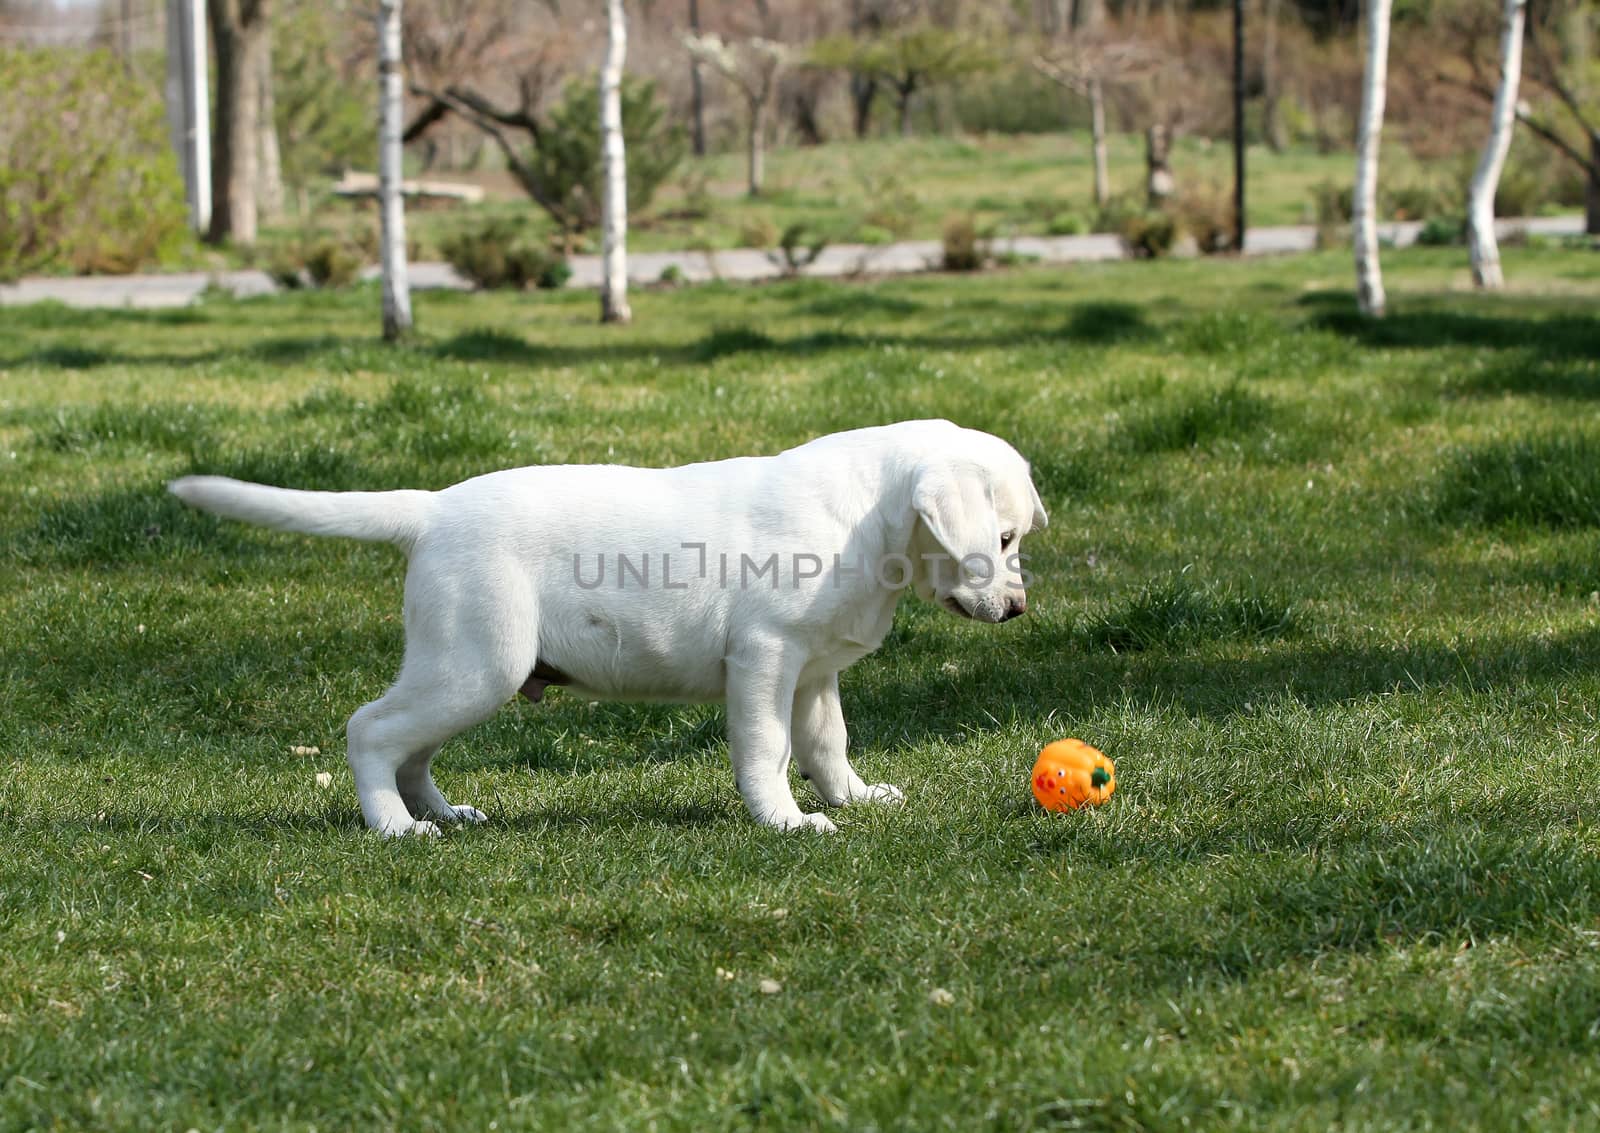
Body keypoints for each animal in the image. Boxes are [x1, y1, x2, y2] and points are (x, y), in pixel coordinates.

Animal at [172, 419, 1049, 838]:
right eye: (1002, 538)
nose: (1017, 610)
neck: (871, 520)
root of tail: (432, 507)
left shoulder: (814, 672)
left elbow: (827, 744)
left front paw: (857, 798)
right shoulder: (765, 660)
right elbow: (767, 750)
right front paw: (786, 821)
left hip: (466, 670)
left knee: (412, 748)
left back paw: (443, 814)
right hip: (475, 662)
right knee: (372, 730)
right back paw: (393, 827)